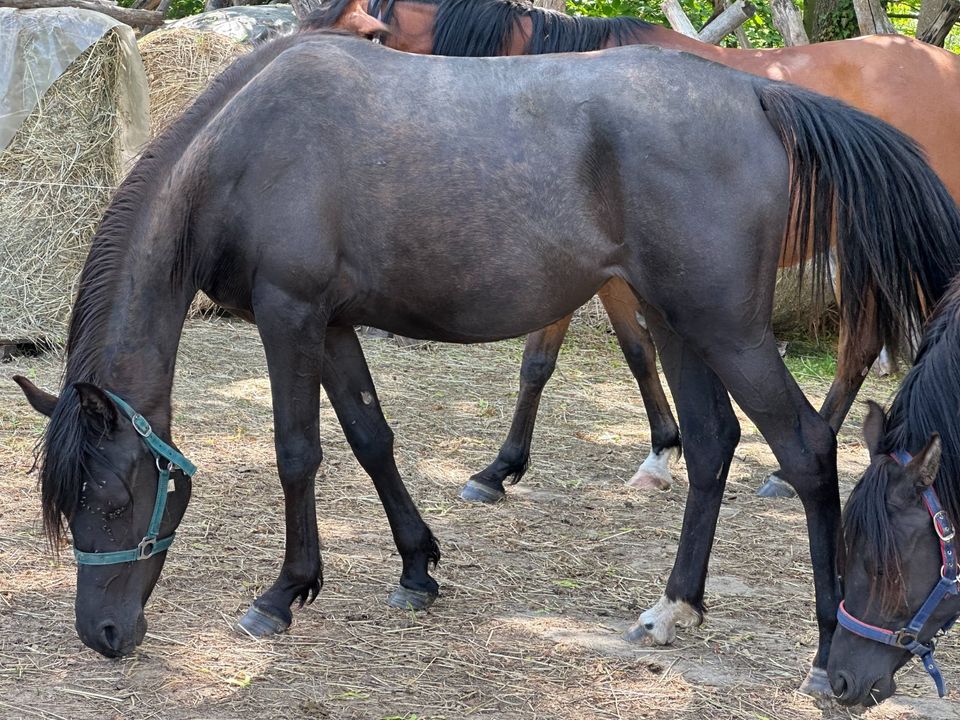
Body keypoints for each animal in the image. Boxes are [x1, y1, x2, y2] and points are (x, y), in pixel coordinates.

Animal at [316, 0, 960, 500]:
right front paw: (660, 452)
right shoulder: (612, 277)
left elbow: (539, 362)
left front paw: (498, 468)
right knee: (862, 348)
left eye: (364, 34)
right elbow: (635, 352)